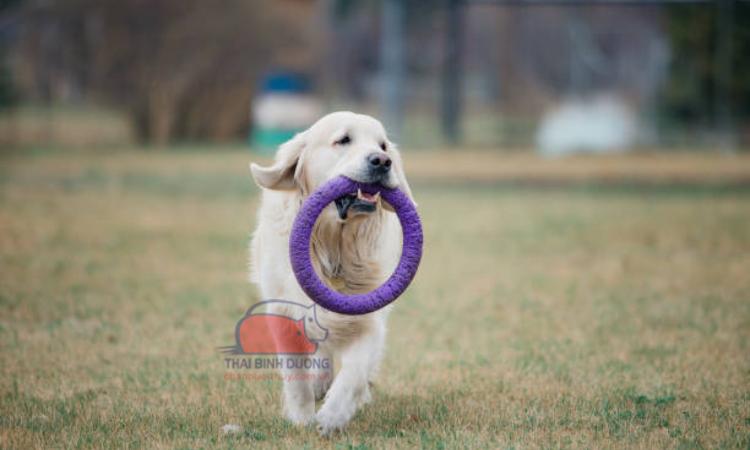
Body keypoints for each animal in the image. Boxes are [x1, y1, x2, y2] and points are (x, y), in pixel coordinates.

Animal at [251, 110, 418, 434]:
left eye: (382, 145)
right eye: (343, 140)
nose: (382, 161)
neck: (334, 246)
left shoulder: (369, 317)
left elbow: (354, 372)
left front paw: (332, 417)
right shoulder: (284, 313)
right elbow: (295, 375)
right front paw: (302, 417)